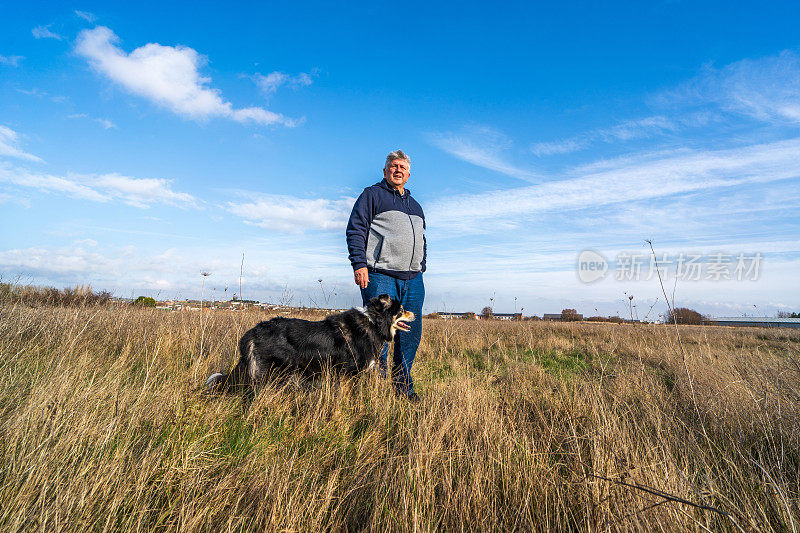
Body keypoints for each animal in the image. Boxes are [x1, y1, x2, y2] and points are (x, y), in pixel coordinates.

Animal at [203, 294, 416, 392]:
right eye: (402, 310)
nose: (414, 313)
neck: (373, 322)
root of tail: (252, 332)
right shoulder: (349, 372)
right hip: (273, 372)